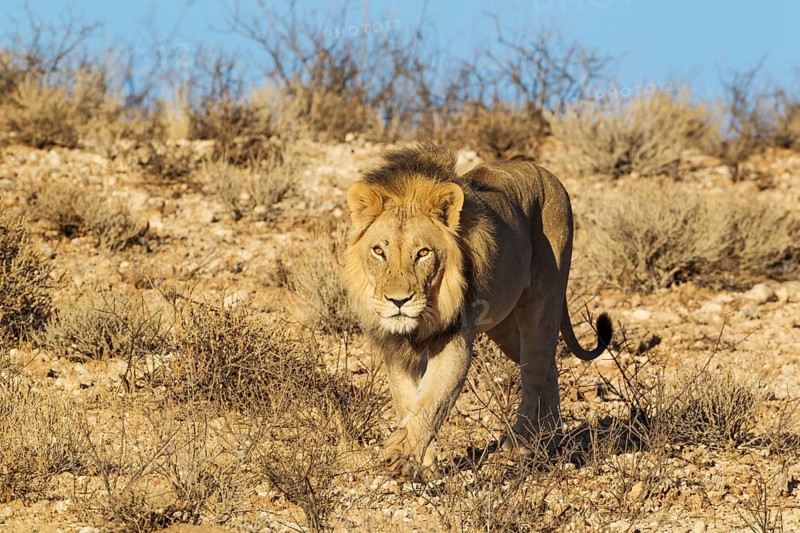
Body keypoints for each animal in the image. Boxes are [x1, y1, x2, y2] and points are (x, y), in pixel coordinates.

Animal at [344, 144, 612, 481]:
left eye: (423, 253)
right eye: (379, 251)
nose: (398, 300)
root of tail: (549, 175)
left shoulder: (454, 342)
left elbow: (432, 400)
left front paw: (400, 456)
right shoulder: (395, 350)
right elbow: (407, 400)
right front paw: (423, 462)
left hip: (542, 301)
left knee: (535, 371)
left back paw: (521, 445)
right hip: (503, 326)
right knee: (548, 367)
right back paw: (550, 440)